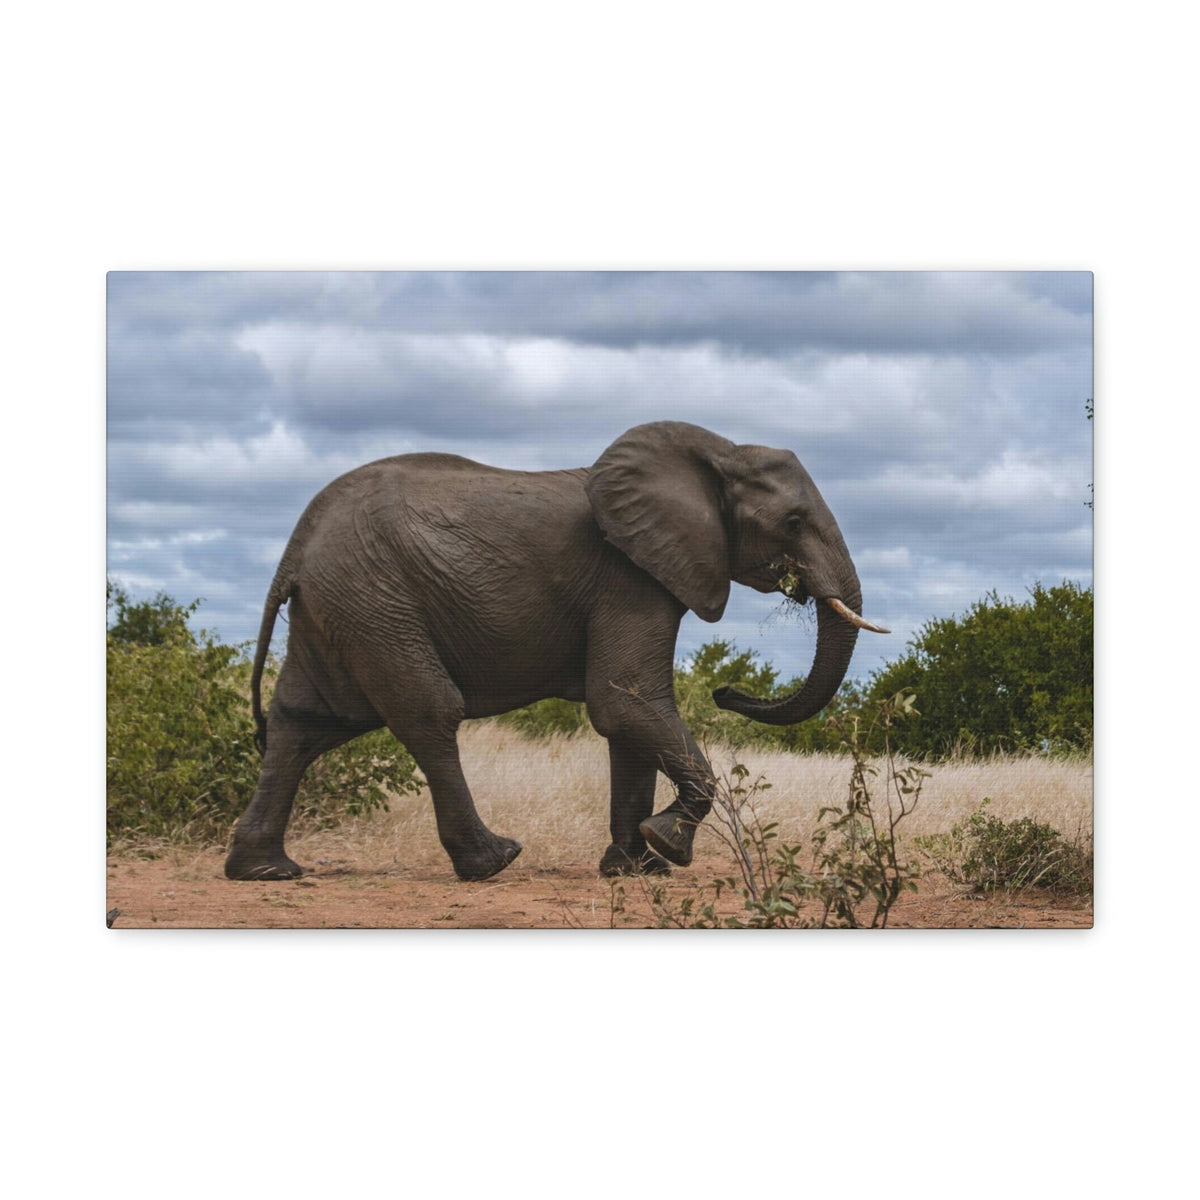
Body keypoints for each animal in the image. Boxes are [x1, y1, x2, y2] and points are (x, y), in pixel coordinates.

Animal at [224, 420, 888, 883]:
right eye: (794, 522)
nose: (725, 692)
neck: (717, 452)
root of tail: (297, 544)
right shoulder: (629, 576)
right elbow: (625, 702)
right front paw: (668, 846)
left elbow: (627, 717)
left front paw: (634, 868)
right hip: (374, 599)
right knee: (429, 712)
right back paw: (493, 861)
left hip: (341, 607)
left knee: (304, 722)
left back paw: (265, 872)